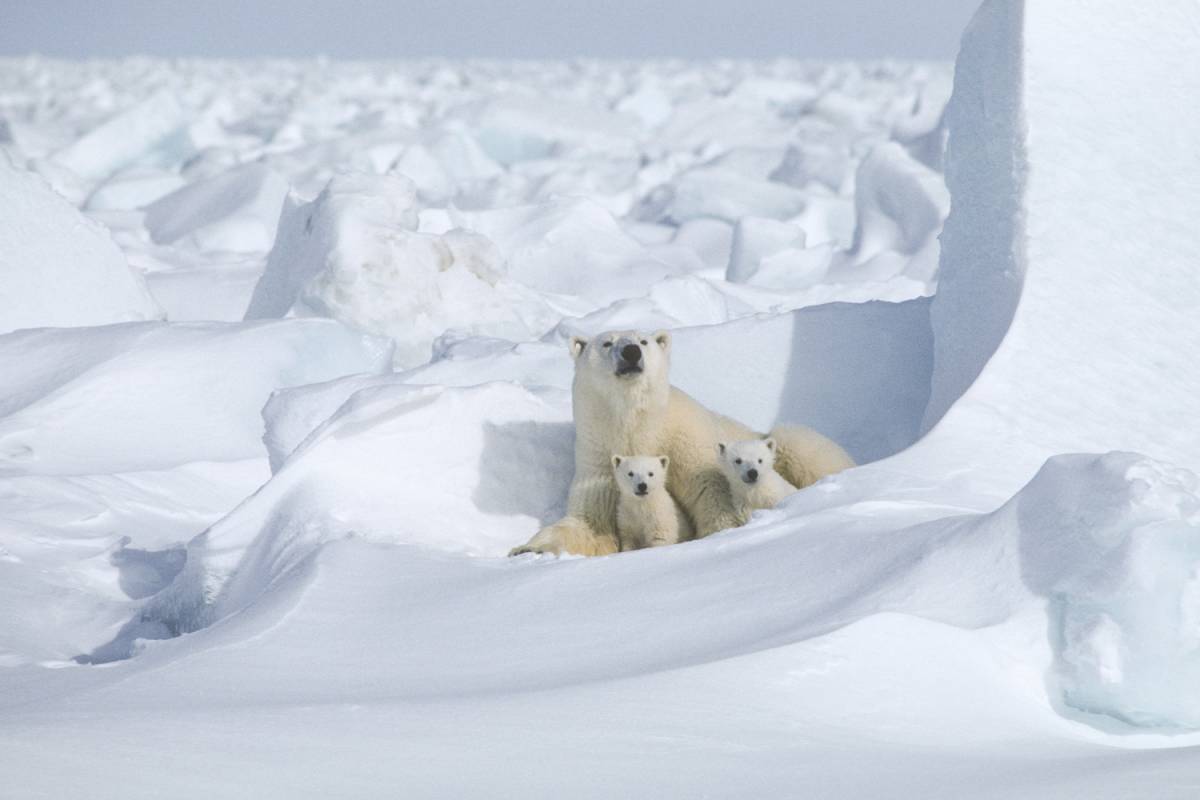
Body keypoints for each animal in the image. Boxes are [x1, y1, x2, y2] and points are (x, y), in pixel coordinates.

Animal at [506, 326, 854, 556]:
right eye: (607, 342)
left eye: (644, 340)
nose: (631, 352)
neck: (638, 428)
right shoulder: (599, 460)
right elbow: (590, 522)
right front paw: (527, 549)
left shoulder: (687, 443)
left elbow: (711, 493)